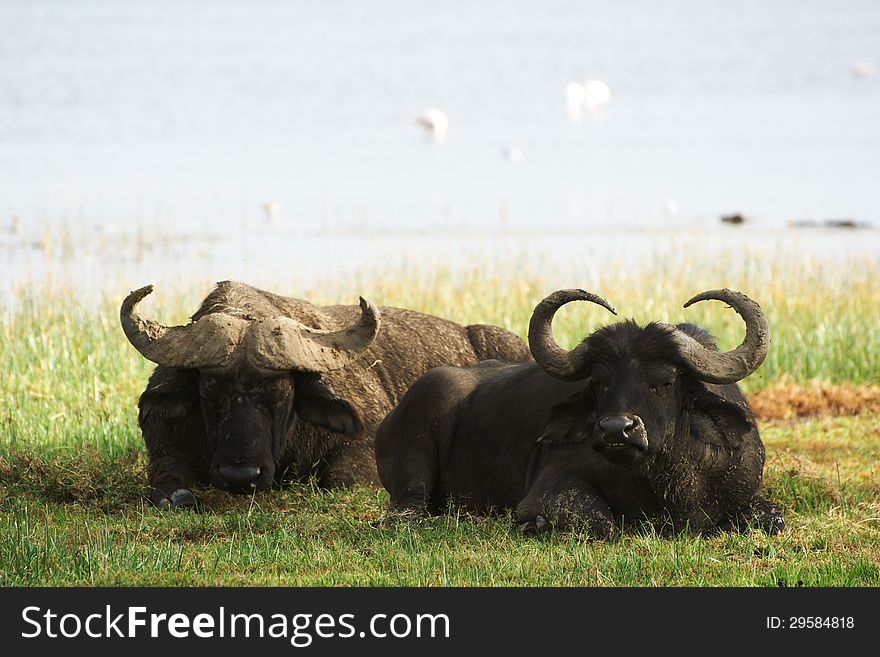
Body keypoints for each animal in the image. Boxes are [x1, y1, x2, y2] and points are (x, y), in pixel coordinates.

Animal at [118, 280, 528, 508]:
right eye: (209, 391)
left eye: (282, 392)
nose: (241, 473)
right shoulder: (165, 446)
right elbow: (168, 481)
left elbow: (341, 478)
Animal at [376, 288, 784, 540]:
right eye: (600, 382)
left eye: (666, 381)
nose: (617, 430)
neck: (667, 486)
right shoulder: (548, 491)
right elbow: (601, 524)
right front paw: (537, 525)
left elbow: (774, 519)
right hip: (414, 467)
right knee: (409, 509)